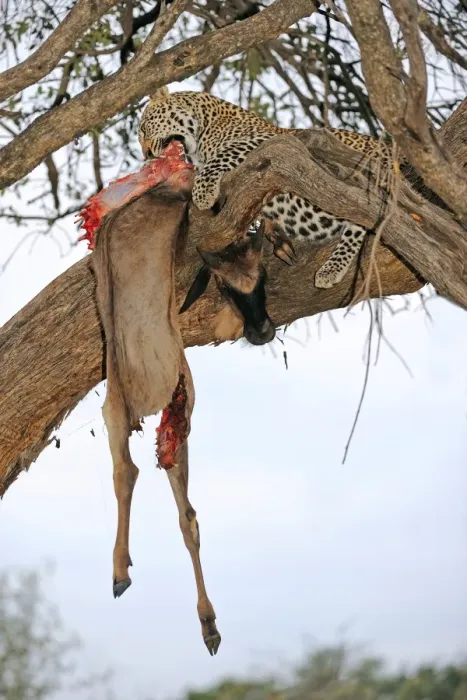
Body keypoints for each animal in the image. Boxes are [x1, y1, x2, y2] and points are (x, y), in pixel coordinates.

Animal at [138, 88, 393, 288]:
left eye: (143, 128)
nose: (147, 155)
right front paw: (272, 232)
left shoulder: (268, 141)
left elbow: (222, 156)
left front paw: (203, 192)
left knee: (361, 220)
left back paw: (331, 269)